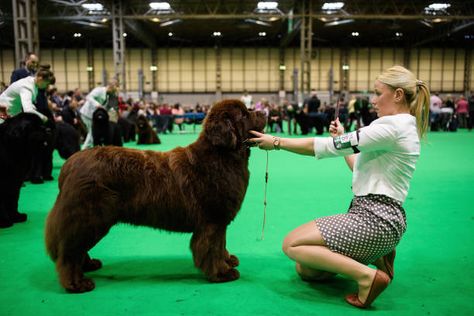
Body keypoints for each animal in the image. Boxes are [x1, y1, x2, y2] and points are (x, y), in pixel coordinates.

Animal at [45, 100, 266, 292]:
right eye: (244, 114)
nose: (264, 112)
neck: (222, 156)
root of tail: (70, 164)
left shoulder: (220, 221)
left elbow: (221, 244)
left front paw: (228, 260)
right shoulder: (212, 221)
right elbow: (212, 247)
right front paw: (222, 272)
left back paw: (89, 265)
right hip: (90, 217)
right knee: (70, 252)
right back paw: (76, 283)